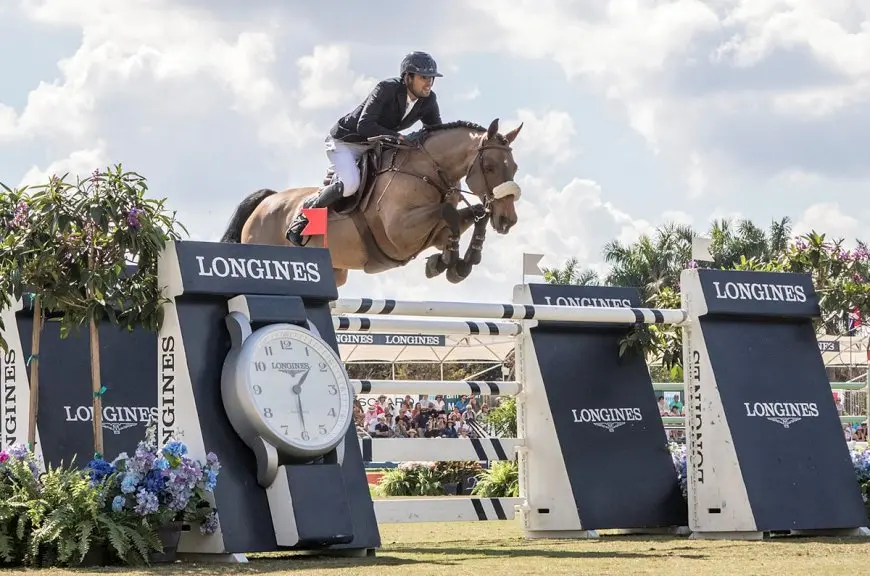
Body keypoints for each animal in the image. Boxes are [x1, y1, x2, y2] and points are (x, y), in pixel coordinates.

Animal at [221, 118, 524, 286]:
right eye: (489, 166)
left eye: (514, 167)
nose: (508, 220)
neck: (427, 170)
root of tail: (266, 202)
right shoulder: (401, 233)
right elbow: (447, 211)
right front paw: (448, 262)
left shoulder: (433, 233)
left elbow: (473, 215)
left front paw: (460, 262)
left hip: (336, 274)